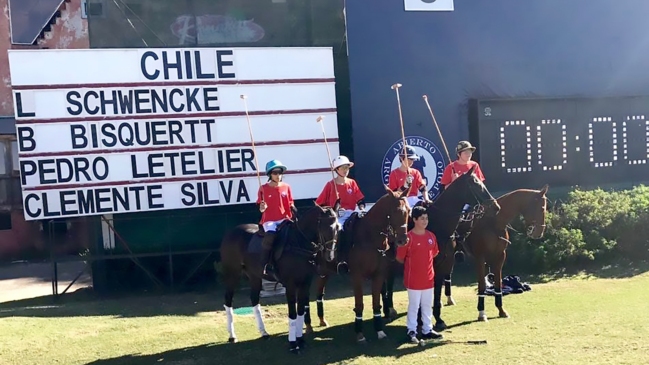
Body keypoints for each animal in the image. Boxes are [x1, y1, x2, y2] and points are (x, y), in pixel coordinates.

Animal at [219, 202, 340, 352]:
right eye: (323, 227)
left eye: (337, 227)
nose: (330, 256)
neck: (299, 242)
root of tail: (230, 232)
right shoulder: (291, 285)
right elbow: (292, 313)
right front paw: (293, 344)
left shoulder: (305, 283)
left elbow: (301, 311)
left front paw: (300, 340)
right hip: (232, 273)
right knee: (228, 300)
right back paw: (232, 336)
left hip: (254, 275)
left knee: (254, 299)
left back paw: (264, 332)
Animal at [432, 185, 548, 328]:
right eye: (541, 208)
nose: (539, 232)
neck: (493, 223)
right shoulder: (480, 258)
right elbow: (482, 286)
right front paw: (482, 313)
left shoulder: (500, 256)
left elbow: (498, 284)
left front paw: (501, 310)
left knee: (447, 275)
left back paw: (448, 299)